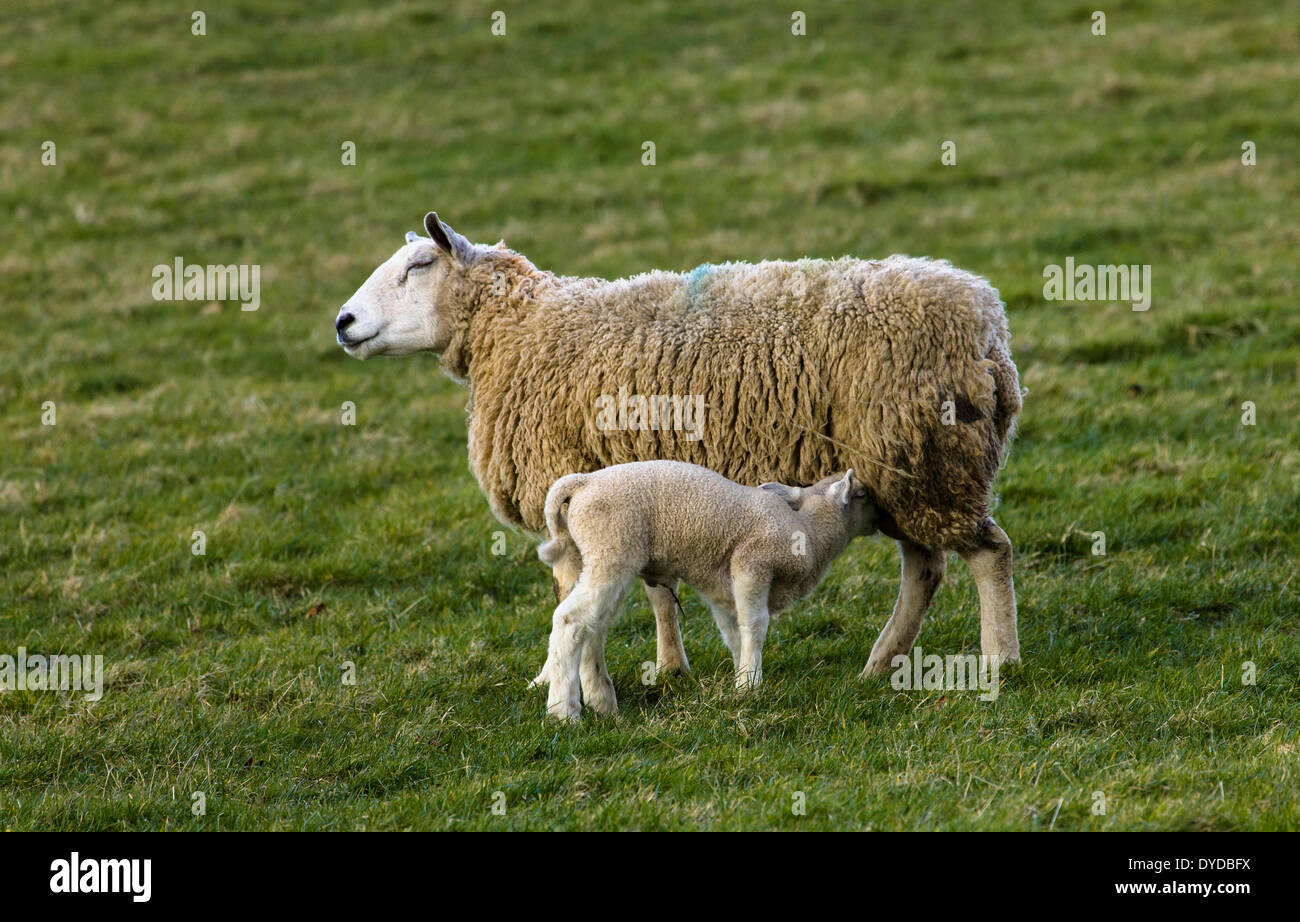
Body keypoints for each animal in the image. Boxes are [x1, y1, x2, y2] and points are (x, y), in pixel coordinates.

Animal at [335, 212, 1023, 681]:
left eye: (418, 266)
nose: (342, 323)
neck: (524, 331)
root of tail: (989, 328)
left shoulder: (569, 480)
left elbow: (573, 597)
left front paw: (561, 677)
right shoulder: (635, 485)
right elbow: (656, 590)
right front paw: (670, 667)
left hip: (926, 459)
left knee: (988, 553)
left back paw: (998, 659)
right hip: (907, 466)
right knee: (927, 566)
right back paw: (881, 663)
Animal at [533, 461, 879, 720]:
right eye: (862, 494)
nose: (882, 520)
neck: (809, 530)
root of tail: (583, 482)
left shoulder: (723, 586)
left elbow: (733, 630)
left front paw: (742, 674)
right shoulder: (752, 563)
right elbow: (756, 624)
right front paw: (750, 685)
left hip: (595, 558)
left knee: (593, 626)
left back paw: (602, 701)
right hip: (612, 549)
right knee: (570, 620)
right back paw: (564, 712)